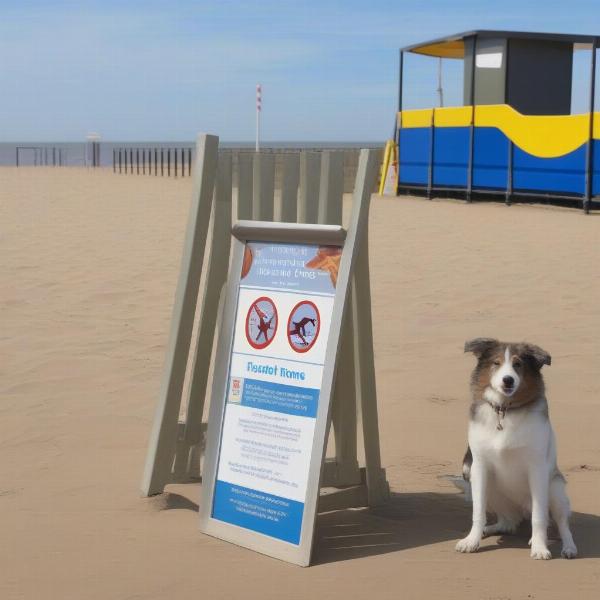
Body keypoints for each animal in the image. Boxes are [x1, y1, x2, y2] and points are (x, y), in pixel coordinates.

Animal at [458, 338, 580, 556]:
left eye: (518, 364)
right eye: (496, 363)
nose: (508, 380)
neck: (505, 410)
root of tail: (520, 510)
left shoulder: (537, 469)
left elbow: (539, 517)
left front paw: (540, 547)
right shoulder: (479, 466)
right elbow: (478, 512)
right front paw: (472, 540)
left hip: (555, 490)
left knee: (560, 523)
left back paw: (567, 547)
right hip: (475, 478)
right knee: (508, 523)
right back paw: (491, 529)